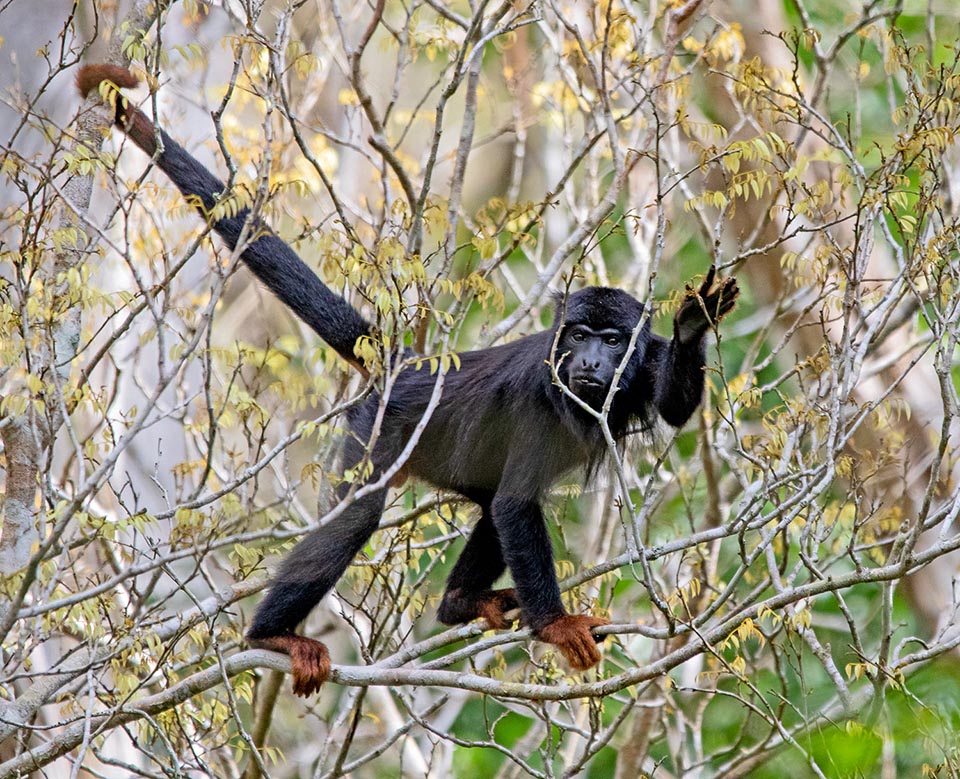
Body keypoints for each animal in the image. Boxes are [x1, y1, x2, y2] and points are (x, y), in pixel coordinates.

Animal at [79, 65, 740, 696]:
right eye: (577, 336)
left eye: (611, 341)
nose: (591, 364)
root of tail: (408, 367)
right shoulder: (537, 395)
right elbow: (517, 503)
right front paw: (553, 626)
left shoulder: (645, 361)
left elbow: (667, 411)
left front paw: (692, 324)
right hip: (379, 427)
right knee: (364, 516)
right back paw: (272, 636)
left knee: (487, 502)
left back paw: (458, 604)